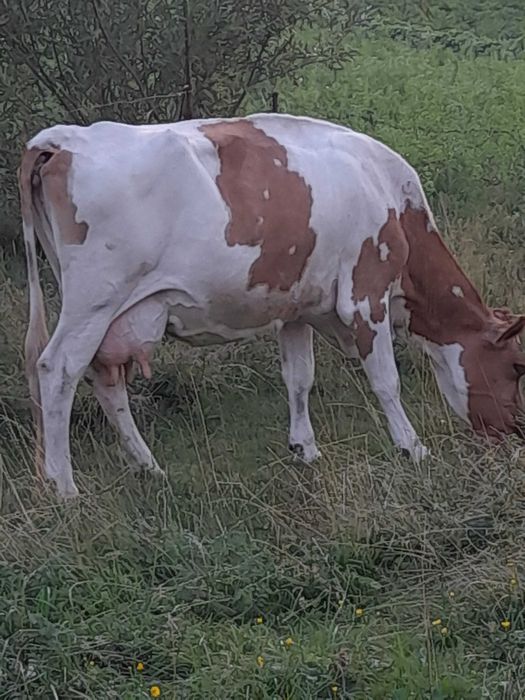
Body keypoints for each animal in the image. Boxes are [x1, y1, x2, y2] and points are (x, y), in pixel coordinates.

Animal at [18, 113, 525, 498]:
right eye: (516, 367)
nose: (514, 435)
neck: (385, 191)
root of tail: (60, 139)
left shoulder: (295, 307)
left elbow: (299, 378)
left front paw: (306, 450)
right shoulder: (365, 294)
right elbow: (386, 381)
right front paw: (412, 447)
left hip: (108, 311)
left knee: (106, 380)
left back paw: (149, 467)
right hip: (95, 300)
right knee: (58, 369)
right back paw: (64, 487)